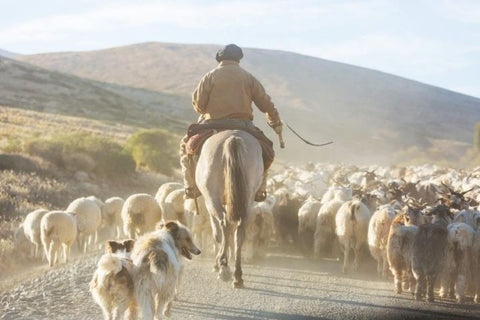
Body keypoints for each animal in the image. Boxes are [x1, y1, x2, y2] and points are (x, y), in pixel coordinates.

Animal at [195, 129, 262, 288]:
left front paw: (218, 263)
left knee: (224, 226)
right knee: (240, 231)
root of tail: (232, 138)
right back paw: (237, 275)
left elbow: (217, 234)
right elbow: (230, 231)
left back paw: (224, 269)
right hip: (247, 198)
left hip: (212, 198)